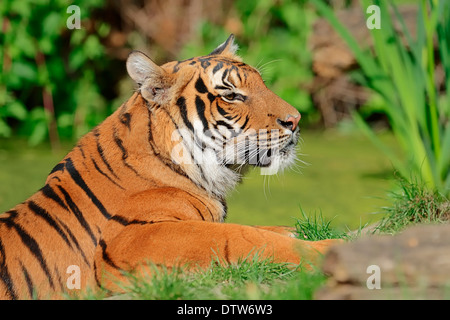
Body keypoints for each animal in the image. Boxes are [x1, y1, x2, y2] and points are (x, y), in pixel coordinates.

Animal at [0, 35, 342, 300]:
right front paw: (329, 249)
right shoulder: (135, 238)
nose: (295, 120)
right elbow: (241, 236)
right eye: (231, 95)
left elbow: (264, 229)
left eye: (262, 85)